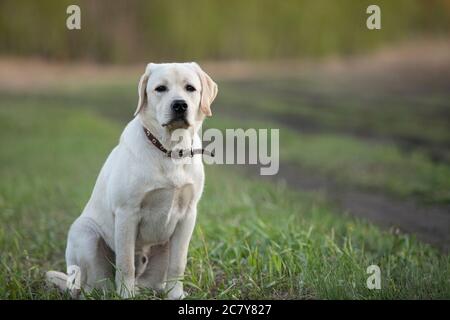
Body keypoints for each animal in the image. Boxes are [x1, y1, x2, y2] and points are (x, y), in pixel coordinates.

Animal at [46, 63, 219, 300]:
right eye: (160, 88)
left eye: (190, 88)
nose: (179, 105)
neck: (170, 150)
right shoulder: (127, 213)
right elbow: (126, 263)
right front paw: (125, 294)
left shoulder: (188, 215)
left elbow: (178, 263)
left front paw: (176, 295)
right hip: (85, 233)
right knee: (92, 286)